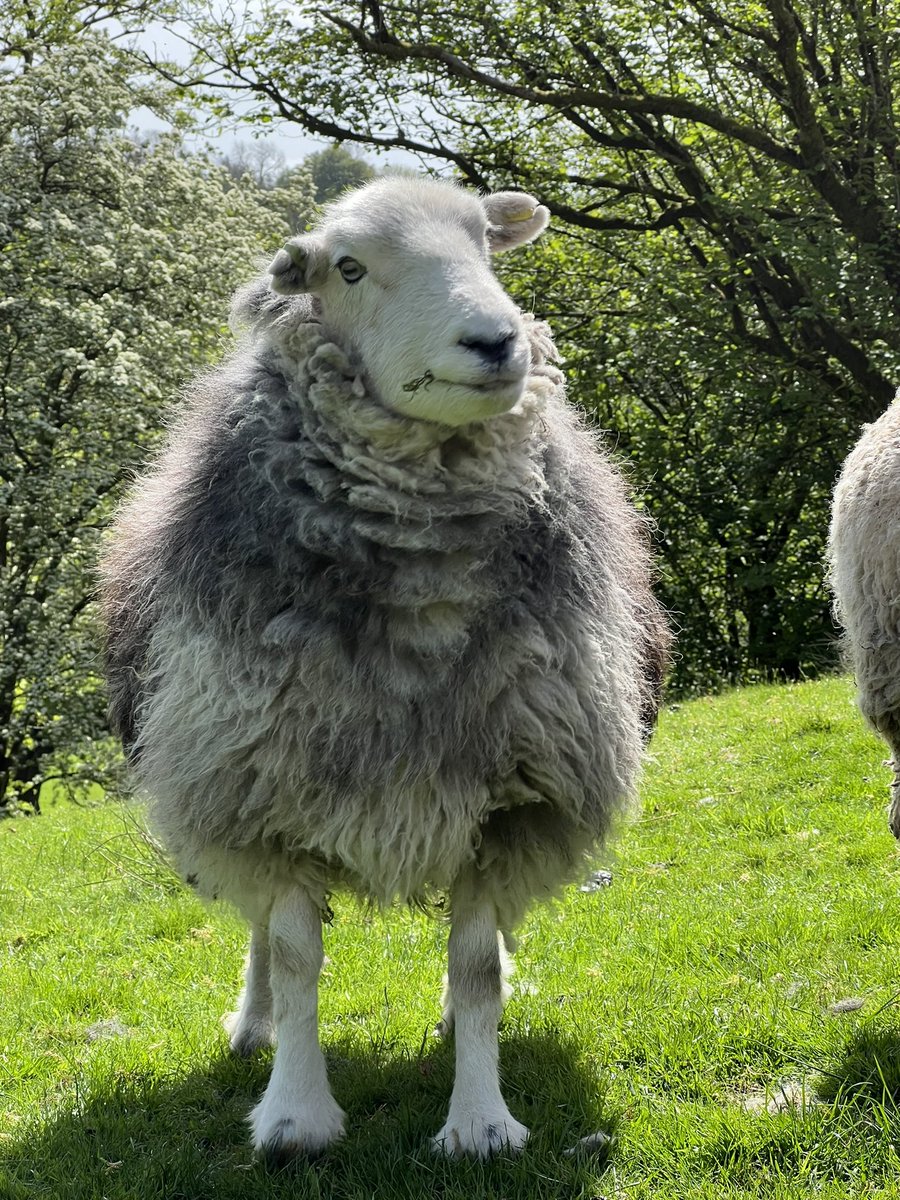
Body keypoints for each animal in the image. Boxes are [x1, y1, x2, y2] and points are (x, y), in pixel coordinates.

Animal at [100, 176, 670, 1161]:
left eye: (486, 245)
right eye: (349, 267)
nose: (497, 340)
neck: (421, 594)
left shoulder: (508, 796)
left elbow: (475, 969)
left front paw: (480, 1121)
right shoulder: (265, 793)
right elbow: (295, 958)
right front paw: (296, 1113)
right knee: (260, 932)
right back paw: (252, 1027)